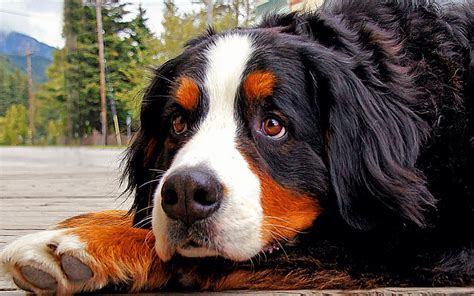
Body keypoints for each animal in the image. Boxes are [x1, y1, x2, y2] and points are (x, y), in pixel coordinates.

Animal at [0, 0, 474, 294]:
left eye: (273, 125)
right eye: (177, 122)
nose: (185, 194)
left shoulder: (415, 239)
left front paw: (73, 244)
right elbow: (150, 220)